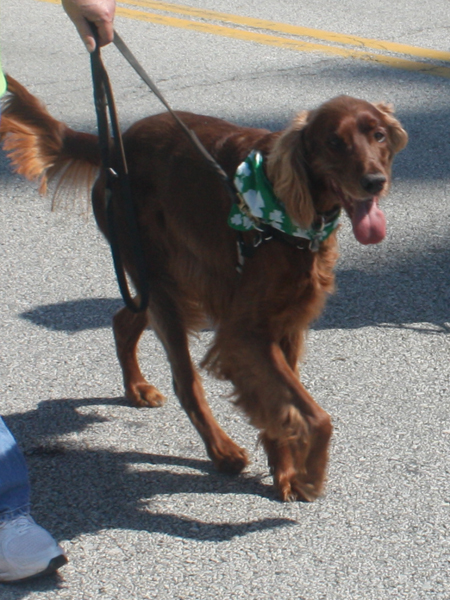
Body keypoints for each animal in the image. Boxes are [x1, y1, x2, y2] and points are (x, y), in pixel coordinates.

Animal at [0, 77, 408, 504]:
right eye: (333, 142)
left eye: (378, 135)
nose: (375, 182)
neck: (290, 210)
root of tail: (115, 146)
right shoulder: (245, 332)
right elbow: (314, 415)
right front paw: (310, 474)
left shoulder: (288, 323)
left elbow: (282, 409)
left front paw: (287, 473)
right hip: (160, 279)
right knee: (185, 381)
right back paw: (222, 450)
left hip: (171, 282)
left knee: (123, 319)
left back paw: (137, 388)